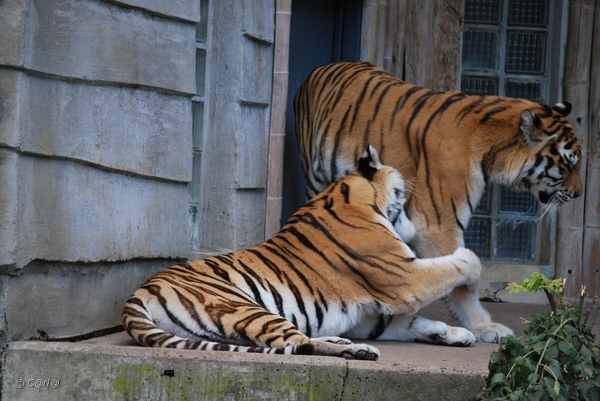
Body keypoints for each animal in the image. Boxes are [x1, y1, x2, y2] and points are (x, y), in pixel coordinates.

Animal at [122, 145, 482, 358]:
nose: (412, 200)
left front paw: (454, 333)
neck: (351, 195)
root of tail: (137, 295)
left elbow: (410, 322)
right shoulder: (405, 278)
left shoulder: (366, 316)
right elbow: (454, 266)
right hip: (244, 307)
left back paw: (344, 343)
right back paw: (357, 351)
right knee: (295, 343)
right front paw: (471, 264)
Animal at [292, 61, 584, 342]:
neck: (491, 151)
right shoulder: (439, 224)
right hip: (314, 177)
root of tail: (322, 68)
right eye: (569, 164)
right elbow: (460, 283)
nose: (579, 193)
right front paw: (482, 326)